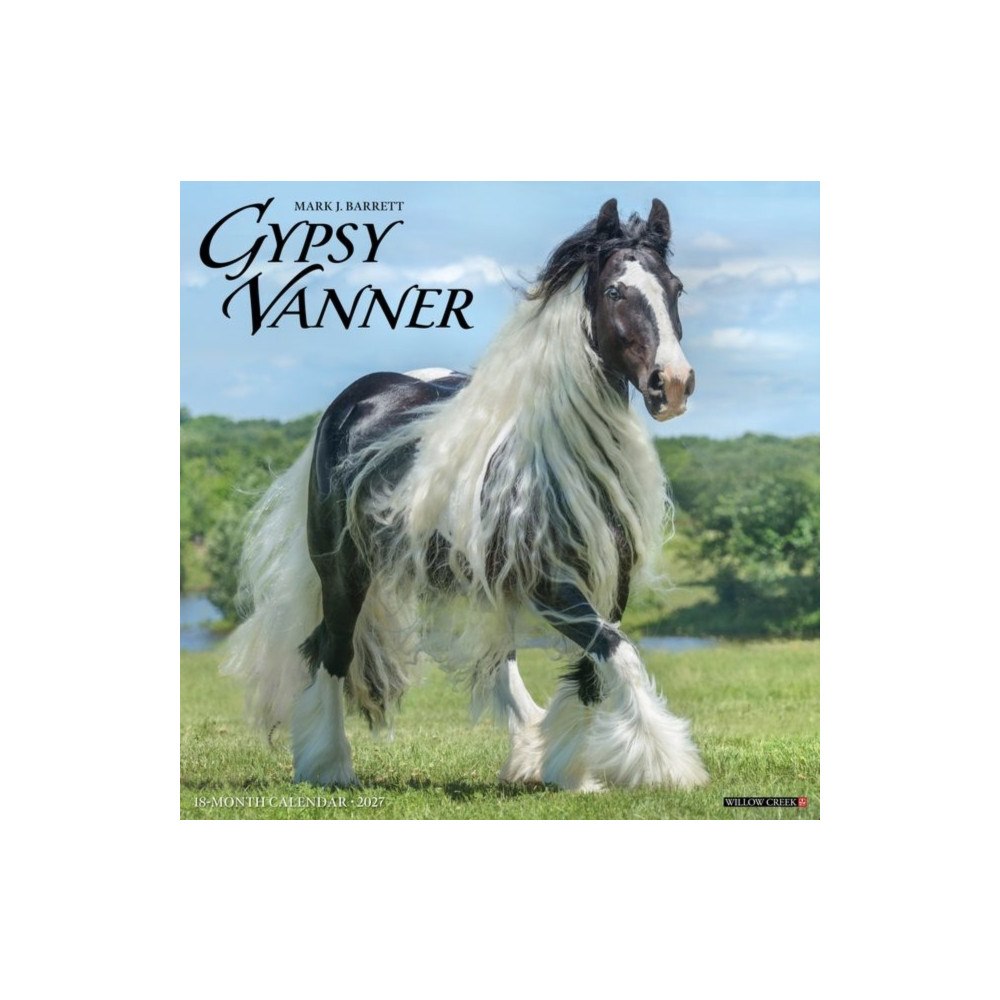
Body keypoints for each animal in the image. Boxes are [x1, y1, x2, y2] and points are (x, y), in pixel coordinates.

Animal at [222, 197, 709, 791]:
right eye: (616, 291)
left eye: (675, 288)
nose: (673, 384)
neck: (552, 455)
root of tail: (354, 399)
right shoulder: (549, 584)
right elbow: (619, 655)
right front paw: (666, 765)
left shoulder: (606, 586)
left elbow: (595, 667)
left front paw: (573, 771)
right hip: (343, 572)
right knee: (331, 649)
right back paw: (328, 767)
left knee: (496, 663)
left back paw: (525, 756)